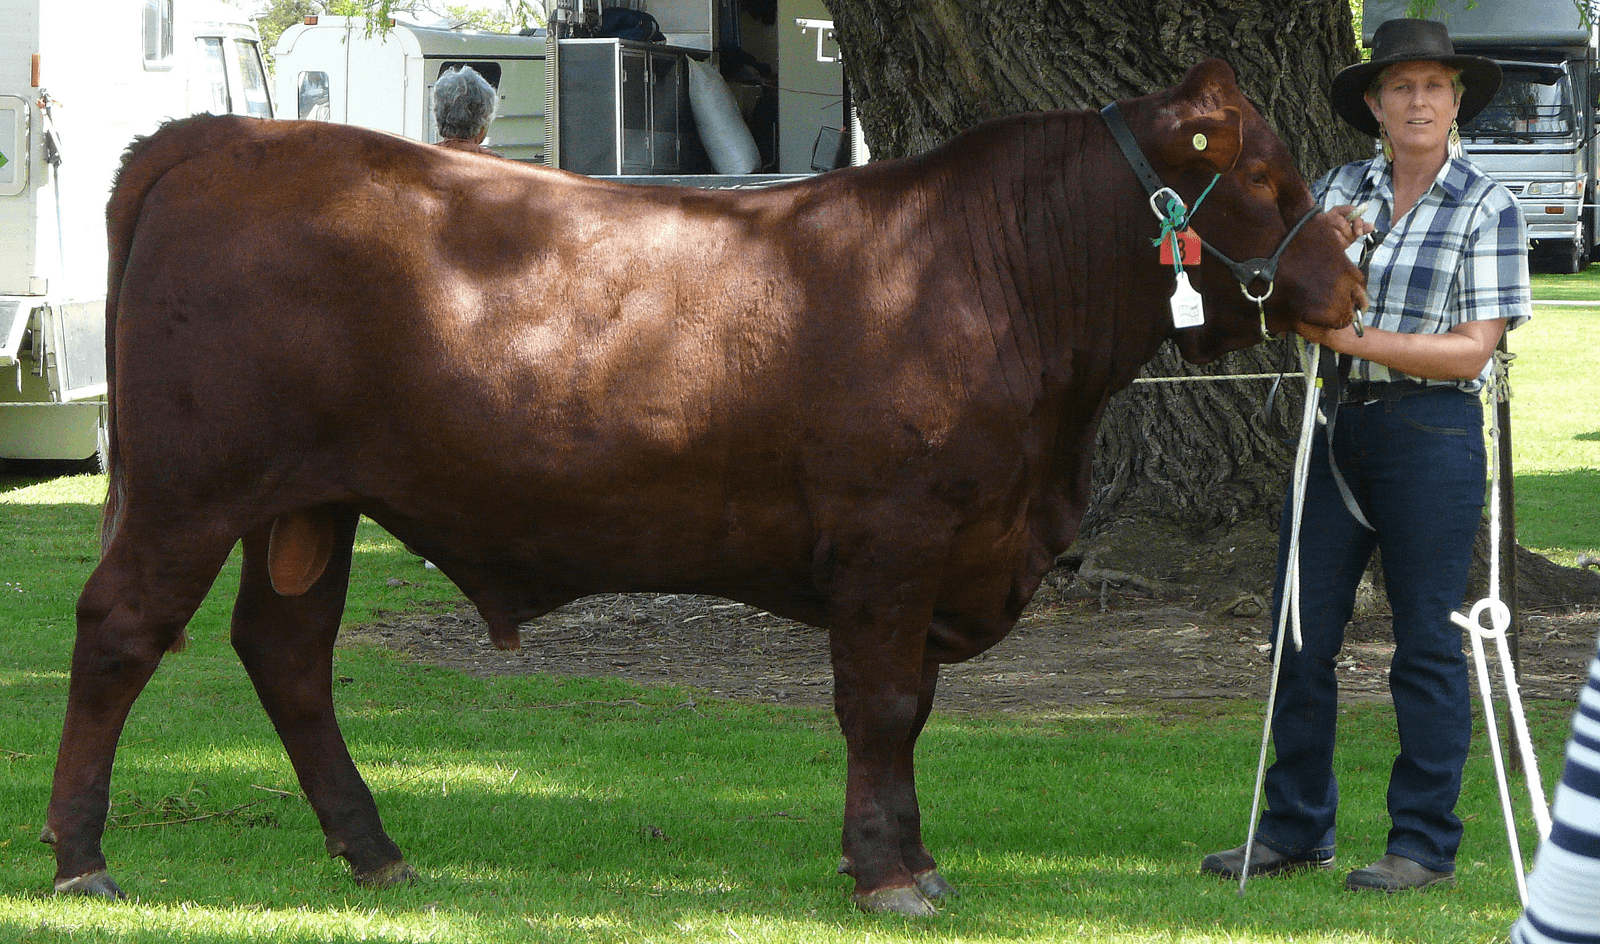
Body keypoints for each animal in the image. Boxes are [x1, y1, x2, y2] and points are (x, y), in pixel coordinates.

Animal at [43, 58, 1363, 915]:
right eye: (1268, 179)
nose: (1348, 287)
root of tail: (220, 136)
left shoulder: (939, 546)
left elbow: (910, 711)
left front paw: (900, 855)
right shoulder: (895, 537)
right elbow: (882, 705)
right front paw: (889, 871)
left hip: (308, 500)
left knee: (286, 651)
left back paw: (372, 846)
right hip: (194, 483)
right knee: (119, 628)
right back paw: (80, 853)